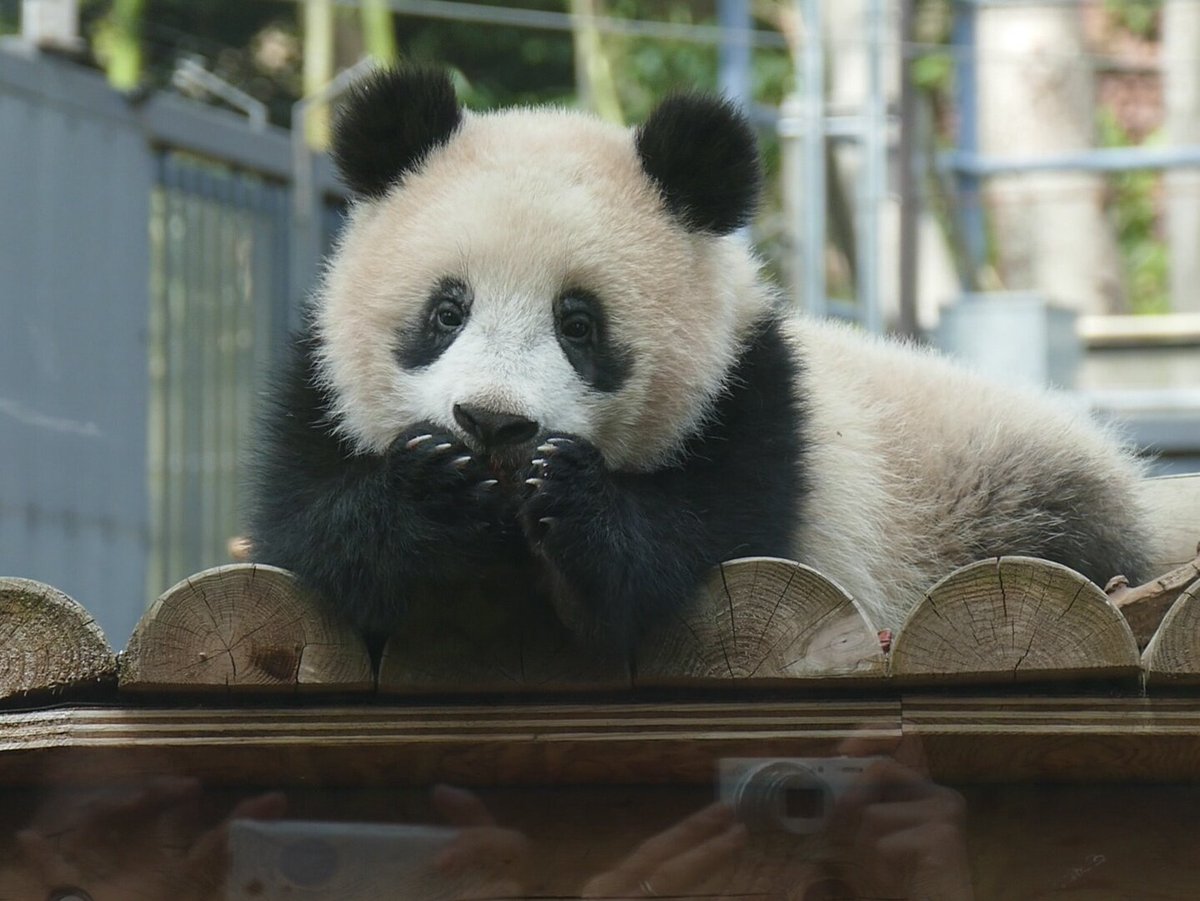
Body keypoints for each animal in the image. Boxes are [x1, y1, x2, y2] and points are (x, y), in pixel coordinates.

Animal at [246, 66, 1152, 652]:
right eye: (446, 311)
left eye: (580, 324)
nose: (493, 422)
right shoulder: (315, 390)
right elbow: (312, 533)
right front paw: (431, 486)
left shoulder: (756, 399)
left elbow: (699, 539)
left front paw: (571, 495)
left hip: (997, 489)